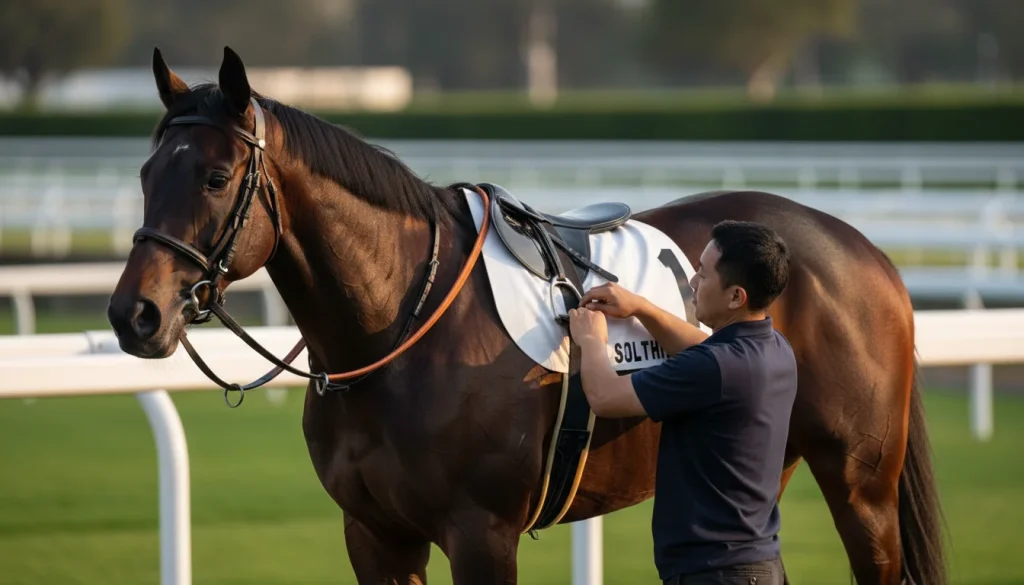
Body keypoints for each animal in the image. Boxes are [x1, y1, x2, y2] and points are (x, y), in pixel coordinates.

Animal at [107, 46, 946, 585]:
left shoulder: (482, 533)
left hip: (862, 486)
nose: (134, 314)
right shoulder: (377, 535)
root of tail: (863, 250)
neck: (399, 324)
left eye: (217, 176)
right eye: (145, 172)